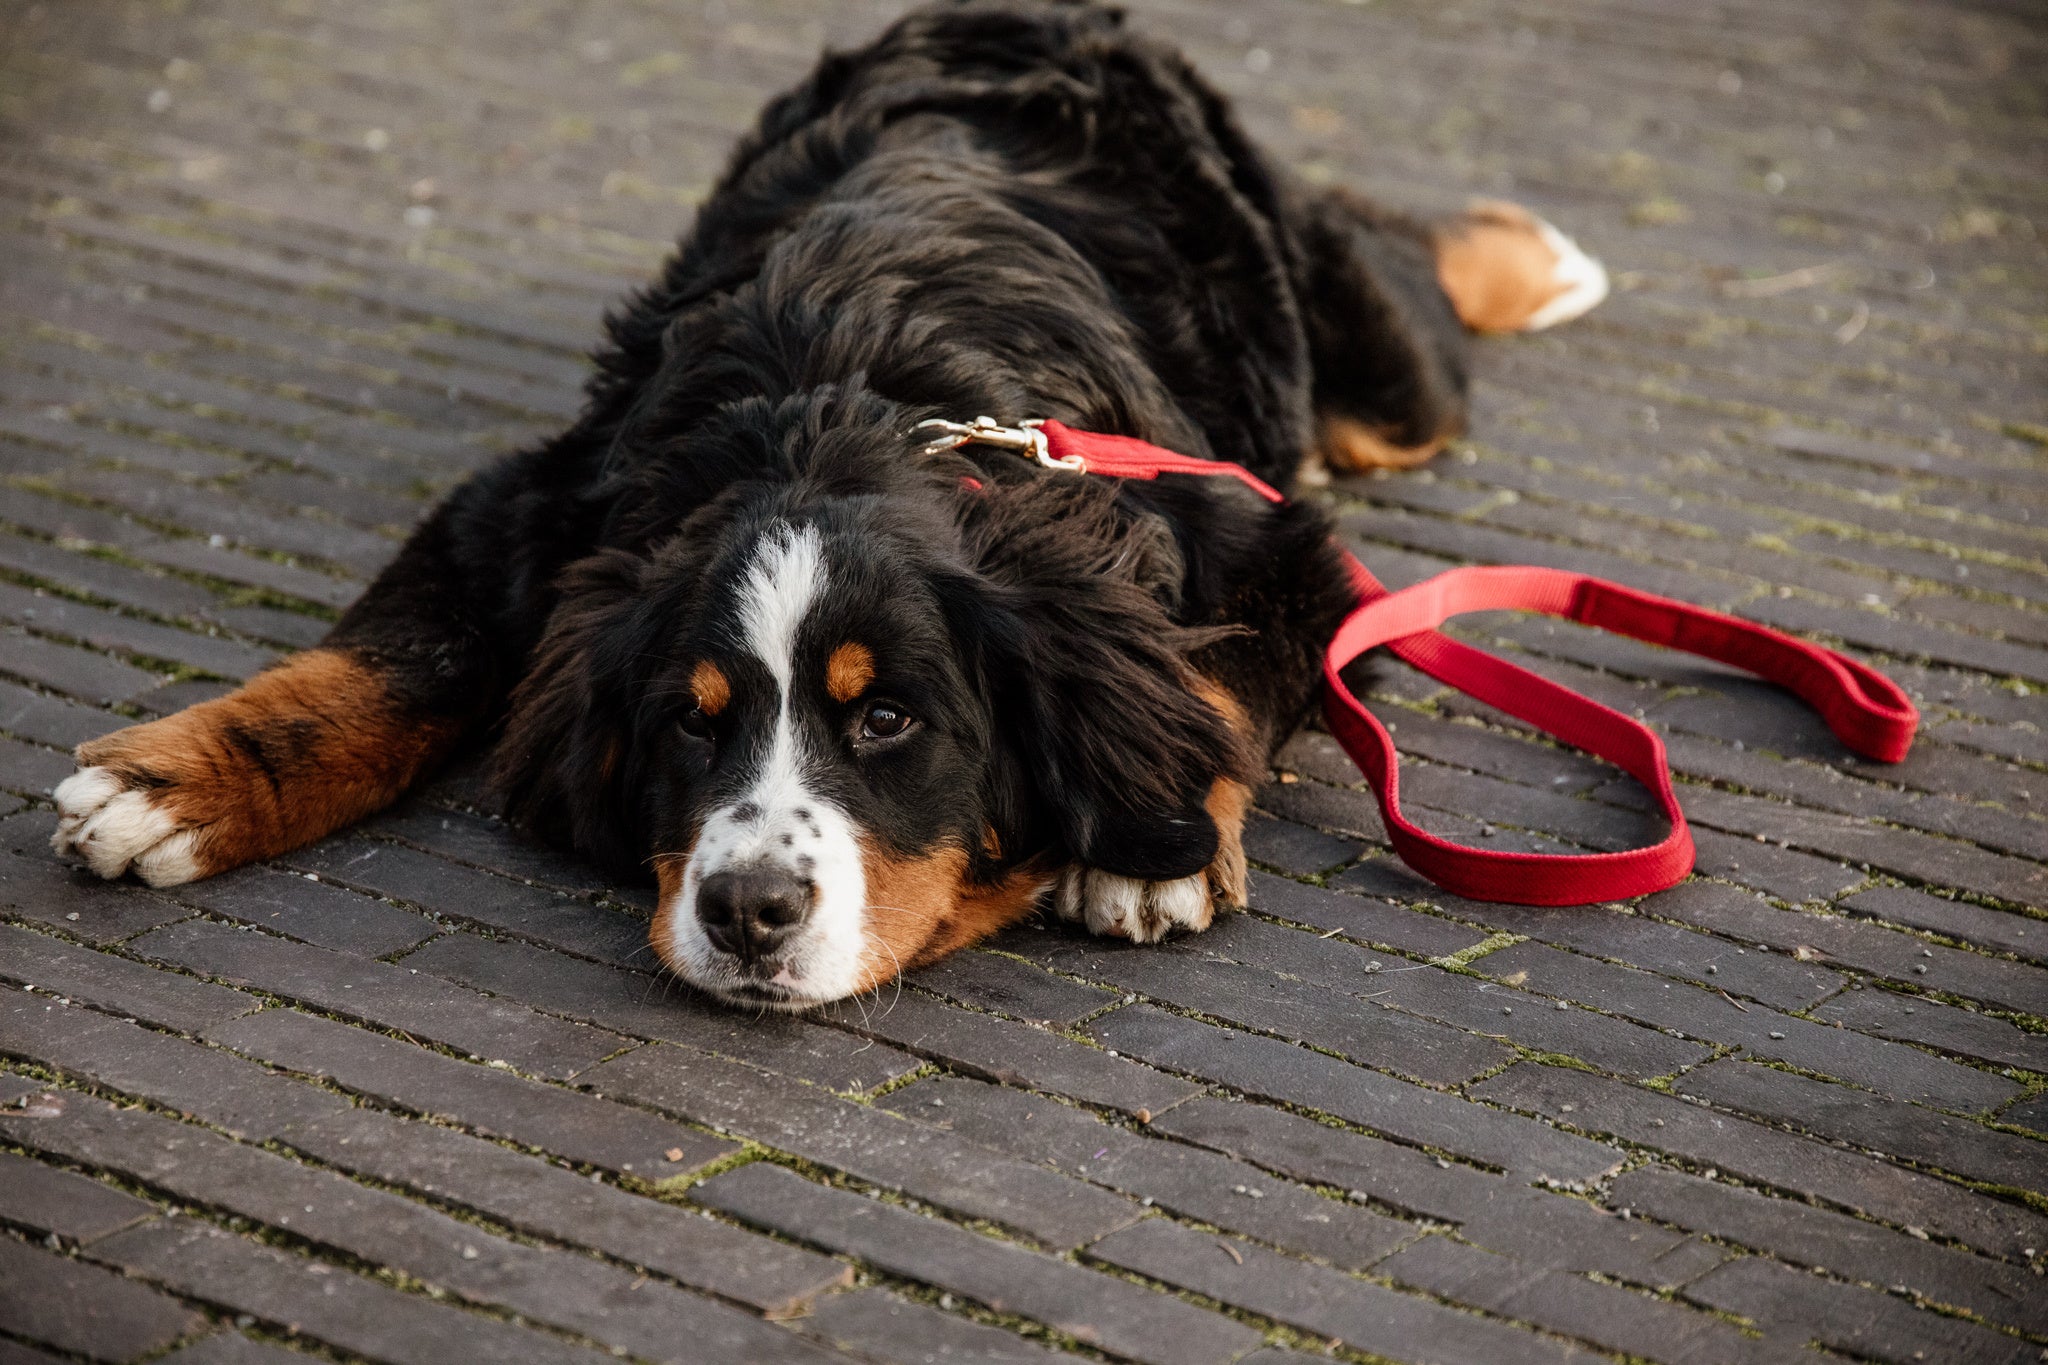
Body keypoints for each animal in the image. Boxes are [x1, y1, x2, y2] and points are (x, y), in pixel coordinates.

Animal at [48, 0, 1605, 1002]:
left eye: (889, 721)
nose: (747, 910)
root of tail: (1036, 12)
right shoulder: (543, 501)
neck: (856, 397)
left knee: (1393, 276)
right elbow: (388, 662)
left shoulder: (1271, 540)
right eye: (691, 720)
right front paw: (173, 786)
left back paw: (1532, 252)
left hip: (1379, 383)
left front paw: (1156, 844)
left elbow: (1216, 683)